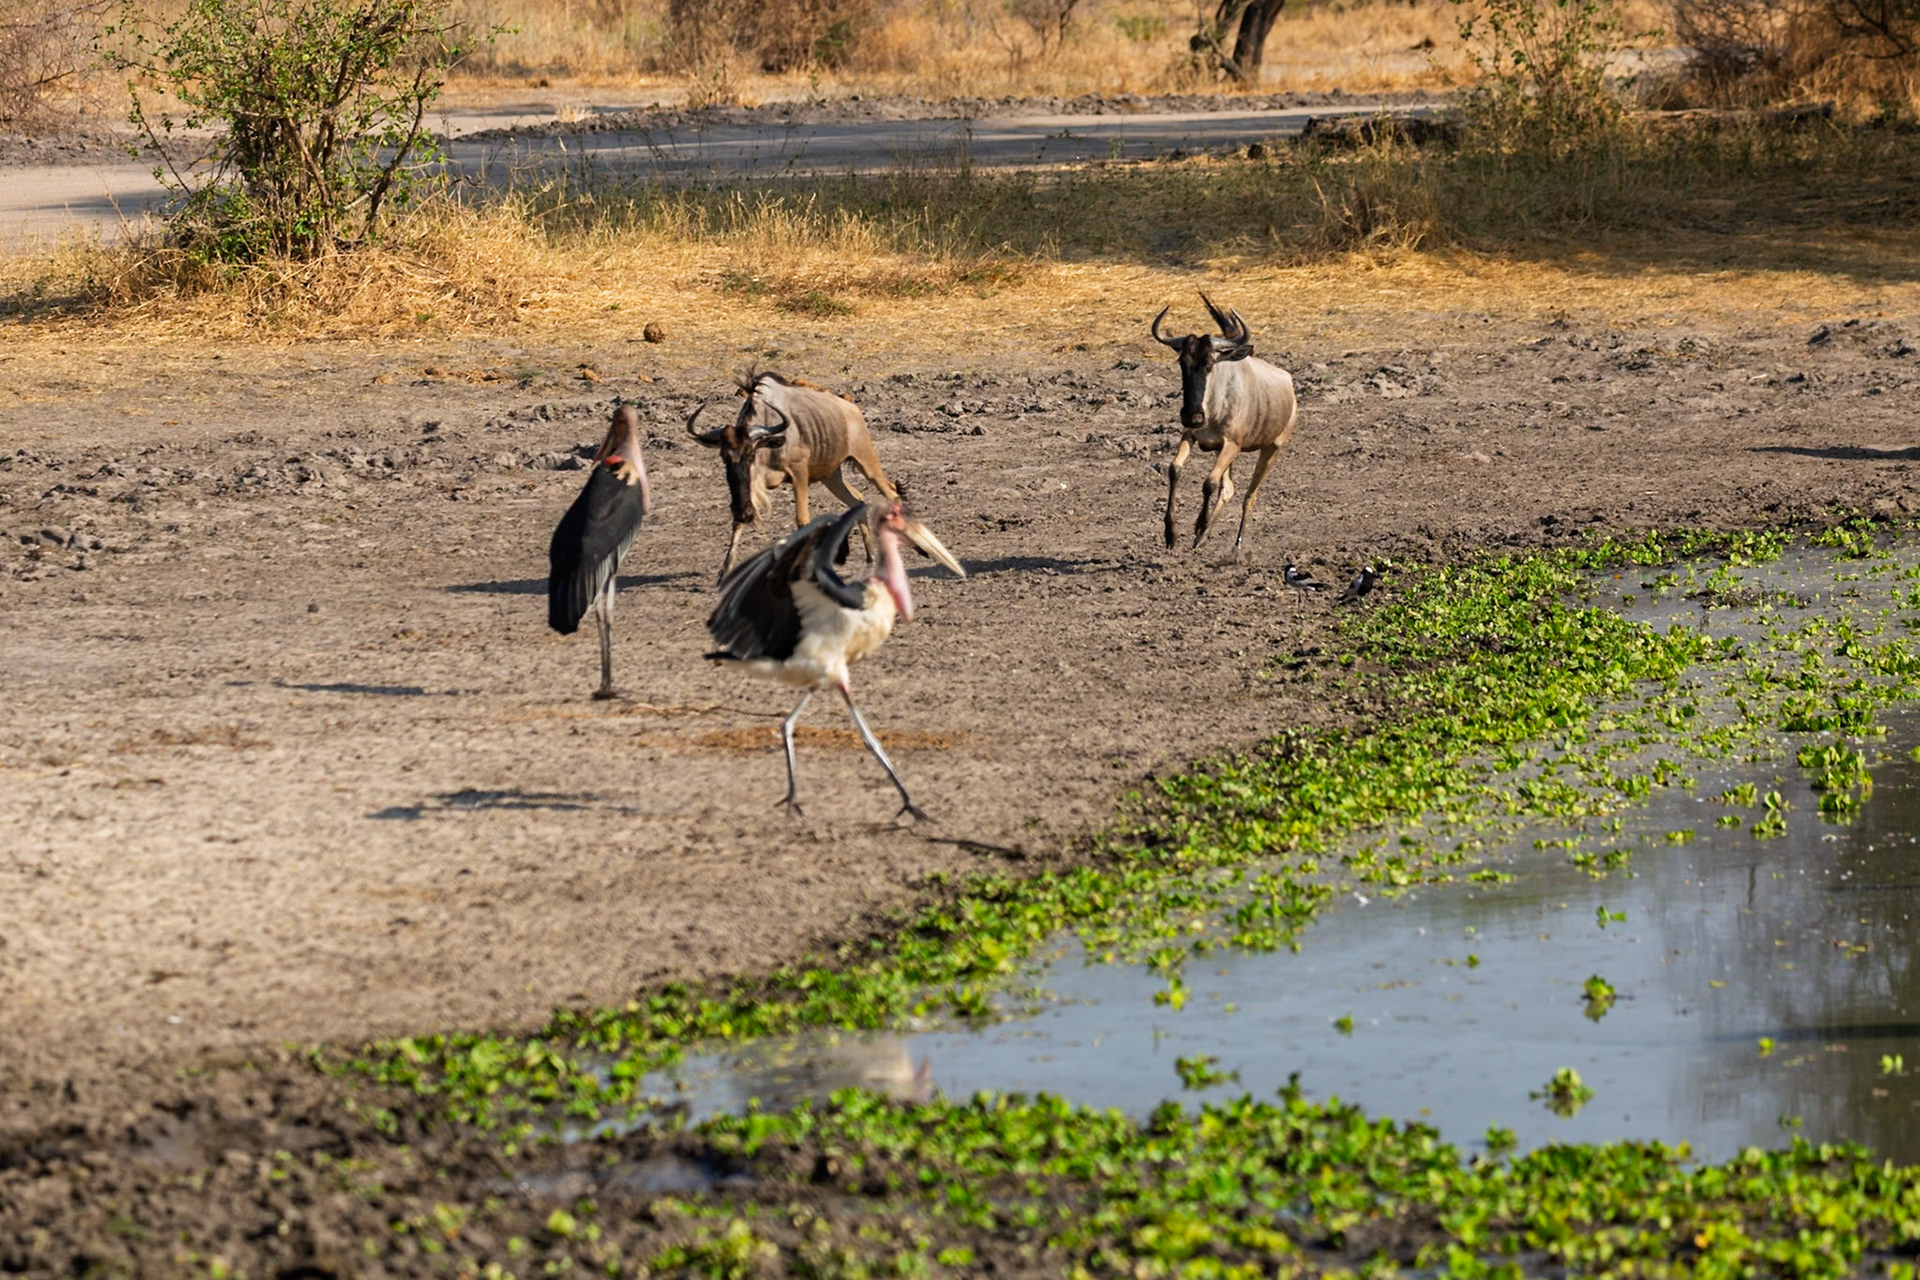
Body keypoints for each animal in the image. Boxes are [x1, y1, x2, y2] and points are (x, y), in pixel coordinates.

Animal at [687, 371, 900, 580]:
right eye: (724, 457)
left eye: (751, 454)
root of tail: (852, 408)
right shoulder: (752, 485)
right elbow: (738, 520)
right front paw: (725, 570)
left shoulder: (799, 473)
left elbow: (802, 520)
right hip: (831, 477)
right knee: (858, 500)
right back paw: (870, 556)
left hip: (867, 464)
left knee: (891, 492)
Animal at [1151, 293, 1300, 559]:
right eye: (1182, 361)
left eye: (1210, 362)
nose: (1193, 416)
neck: (1214, 405)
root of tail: (1290, 388)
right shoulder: (1192, 436)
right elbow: (1174, 469)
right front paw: (1172, 534)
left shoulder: (1232, 445)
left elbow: (1209, 483)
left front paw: (1199, 525)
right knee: (1229, 489)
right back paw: (1201, 539)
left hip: (1271, 449)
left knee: (1249, 495)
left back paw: (1235, 548)